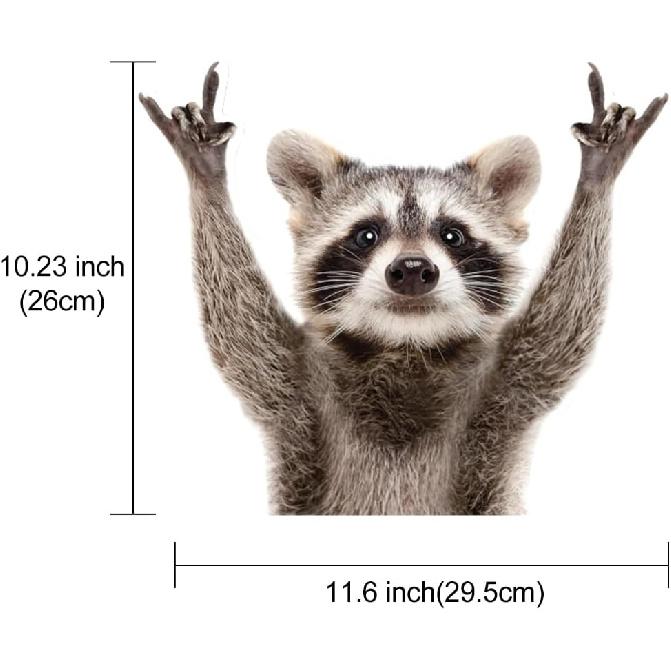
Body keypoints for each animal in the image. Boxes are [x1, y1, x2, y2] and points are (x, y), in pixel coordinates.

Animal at [140, 63, 666, 514]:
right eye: (366, 235)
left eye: (452, 235)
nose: (412, 269)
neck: (405, 345)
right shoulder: (295, 387)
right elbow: (240, 330)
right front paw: (207, 179)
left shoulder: (507, 385)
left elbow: (562, 328)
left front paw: (596, 178)